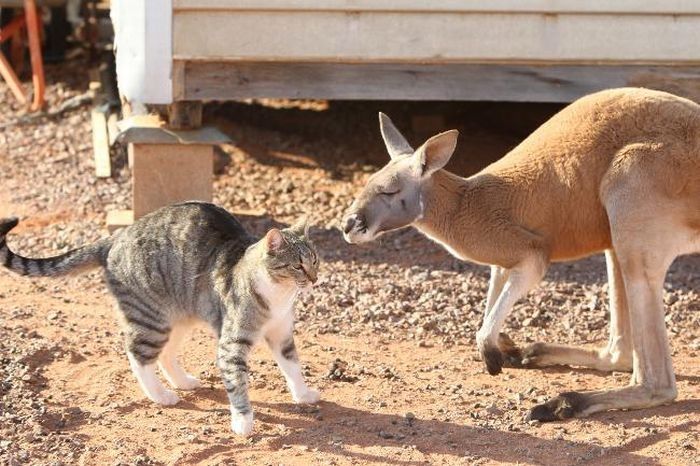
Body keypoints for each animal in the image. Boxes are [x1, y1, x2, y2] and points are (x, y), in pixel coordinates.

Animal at [0, 202, 322, 436]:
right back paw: (161, 395)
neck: (278, 294)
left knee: (165, 354)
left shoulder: (281, 334)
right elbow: (238, 385)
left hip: (177, 318)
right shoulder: (232, 345)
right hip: (151, 319)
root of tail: (114, 238)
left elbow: (293, 366)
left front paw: (303, 394)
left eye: (315, 260)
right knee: (137, 356)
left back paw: (183, 382)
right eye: (297, 265)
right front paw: (243, 422)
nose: (315, 279)